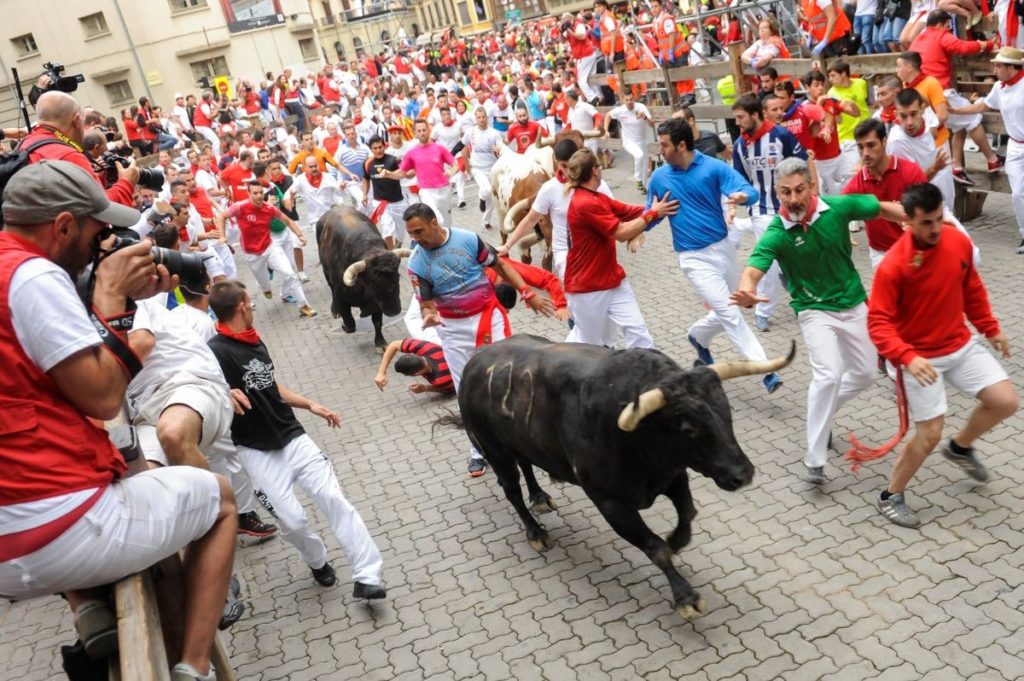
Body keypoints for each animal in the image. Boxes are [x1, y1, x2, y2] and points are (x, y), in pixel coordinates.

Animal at [313, 205, 409, 350]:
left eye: (397, 276)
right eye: (373, 282)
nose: (393, 311)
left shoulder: (376, 303)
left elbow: (377, 322)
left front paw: (380, 343)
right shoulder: (341, 296)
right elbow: (350, 324)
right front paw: (344, 325)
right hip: (326, 274)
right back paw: (335, 311)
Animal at [444, 333, 794, 614]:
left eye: (726, 410)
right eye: (687, 427)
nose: (743, 474)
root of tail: (475, 362)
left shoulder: (674, 473)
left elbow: (687, 514)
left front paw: (676, 541)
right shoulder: (610, 500)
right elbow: (654, 547)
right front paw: (686, 597)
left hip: (520, 440)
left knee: (527, 464)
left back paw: (540, 497)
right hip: (494, 449)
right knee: (512, 491)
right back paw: (536, 532)